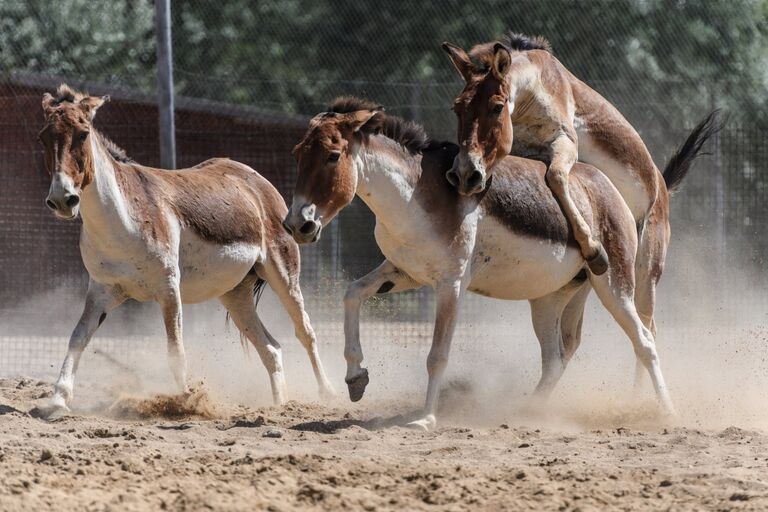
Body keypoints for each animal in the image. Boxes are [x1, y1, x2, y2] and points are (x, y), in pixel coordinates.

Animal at [284, 98, 676, 430]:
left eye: (333, 156)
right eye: (298, 154)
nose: (297, 224)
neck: (413, 194)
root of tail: (609, 190)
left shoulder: (451, 284)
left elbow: (437, 355)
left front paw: (425, 419)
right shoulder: (402, 272)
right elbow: (352, 294)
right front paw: (355, 377)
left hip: (615, 287)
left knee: (645, 341)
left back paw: (665, 412)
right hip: (550, 299)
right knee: (555, 357)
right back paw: (526, 412)